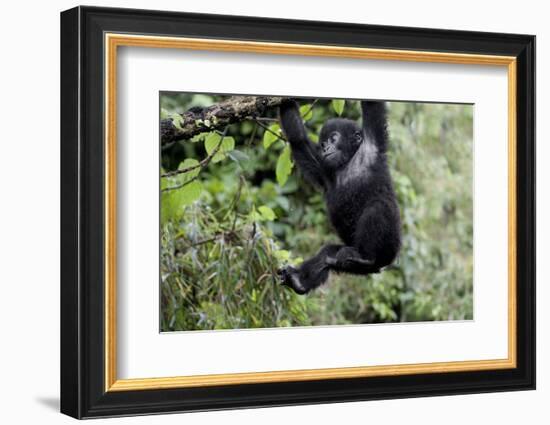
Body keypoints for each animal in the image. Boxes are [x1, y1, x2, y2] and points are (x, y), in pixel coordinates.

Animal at [280, 100, 402, 294]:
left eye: (333, 139)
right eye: (323, 143)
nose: (326, 148)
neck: (348, 162)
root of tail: (379, 267)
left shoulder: (372, 144)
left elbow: (372, 107)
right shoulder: (324, 168)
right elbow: (299, 140)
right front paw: (285, 102)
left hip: (389, 247)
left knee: (378, 207)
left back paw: (365, 256)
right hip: (348, 259)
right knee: (328, 253)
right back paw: (299, 280)